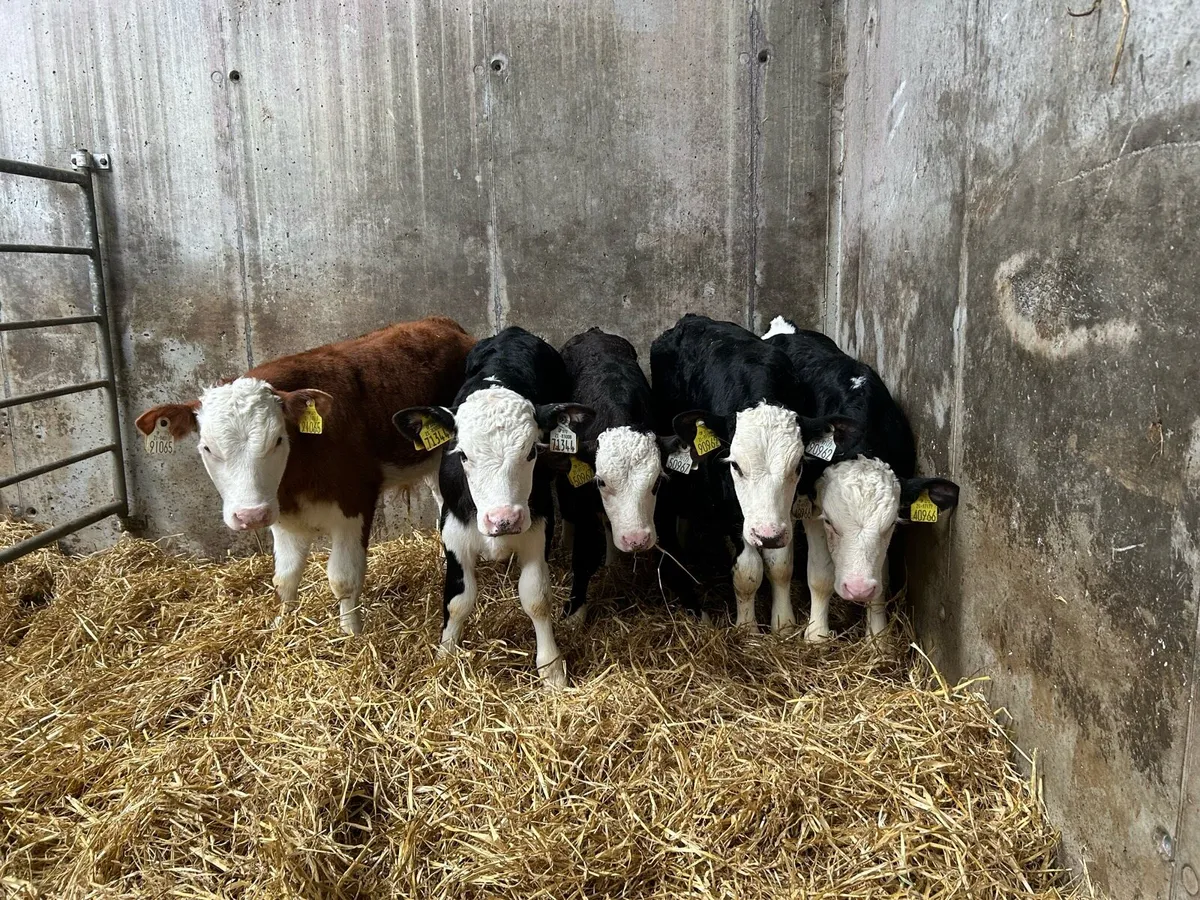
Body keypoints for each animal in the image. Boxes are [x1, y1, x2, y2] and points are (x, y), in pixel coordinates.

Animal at [135, 316, 476, 636]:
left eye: (277, 440)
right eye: (207, 448)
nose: (250, 515)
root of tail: (439, 323)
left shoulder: (354, 501)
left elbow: (343, 579)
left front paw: (350, 635)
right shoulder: (280, 512)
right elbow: (285, 578)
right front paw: (282, 626)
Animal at [393, 326, 593, 688]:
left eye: (532, 451)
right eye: (462, 454)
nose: (504, 519)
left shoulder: (538, 526)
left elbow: (536, 598)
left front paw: (551, 668)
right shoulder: (455, 534)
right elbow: (458, 600)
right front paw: (446, 654)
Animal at [555, 328, 698, 624]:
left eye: (657, 481)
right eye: (600, 481)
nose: (636, 540)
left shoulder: (664, 507)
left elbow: (673, 559)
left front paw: (698, 611)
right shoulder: (584, 501)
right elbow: (583, 557)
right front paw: (574, 612)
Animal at [650, 314, 857, 631]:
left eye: (798, 466)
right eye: (735, 465)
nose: (767, 535)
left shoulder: (784, 515)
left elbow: (780, 565)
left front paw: (783, 622)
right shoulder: (730, 508)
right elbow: (748, 572)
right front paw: (747, 628)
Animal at [762, 315, 960, 640]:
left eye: (891, 524)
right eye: (831, 523)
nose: (857, 588)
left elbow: (882, 579)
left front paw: (878, 637)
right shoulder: (812, 508)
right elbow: (820, 575)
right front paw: (816, 635)